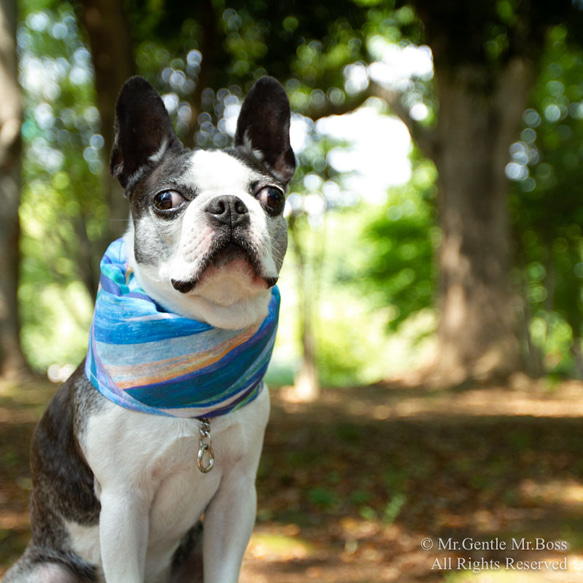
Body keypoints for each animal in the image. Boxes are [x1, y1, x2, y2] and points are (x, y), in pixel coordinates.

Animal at [3, 75, 296, 580]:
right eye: (167, 200)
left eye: (272, 197)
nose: (228, 206)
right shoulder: (124, 507)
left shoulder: (237, 495)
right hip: (48, 568)